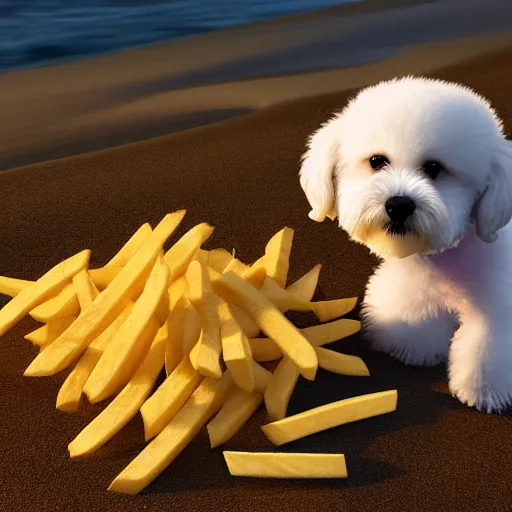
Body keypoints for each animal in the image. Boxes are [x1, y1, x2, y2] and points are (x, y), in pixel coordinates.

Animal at [298, 77, 512, 412]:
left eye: (435, 168)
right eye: (377, 161)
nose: (398, 205)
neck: (447, 260)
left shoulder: (498, 306)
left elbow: (487, 346)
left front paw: (483, 390)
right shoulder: (417, 288)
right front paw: (412, 346)